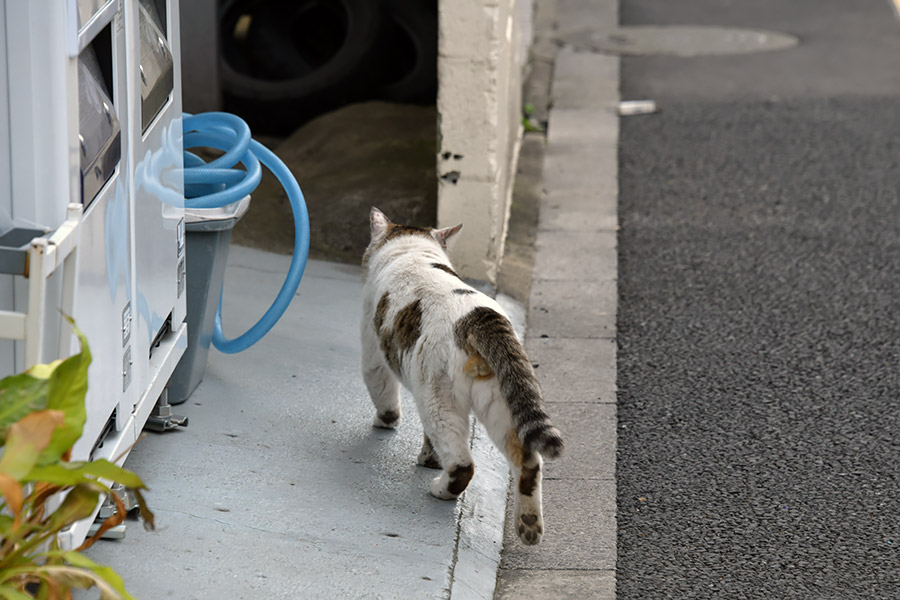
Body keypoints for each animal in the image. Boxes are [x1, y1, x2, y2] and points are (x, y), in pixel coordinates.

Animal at [360, 209, 564, 548]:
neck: (414, 250)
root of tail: (478, 317)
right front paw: (429, 457)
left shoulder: (374, 351)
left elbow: (382, 392)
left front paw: (386, 423)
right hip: (502, 402)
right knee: (529, 463)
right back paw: (528, 526)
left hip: (438, 399)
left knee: (463, 463)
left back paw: (441, 488)